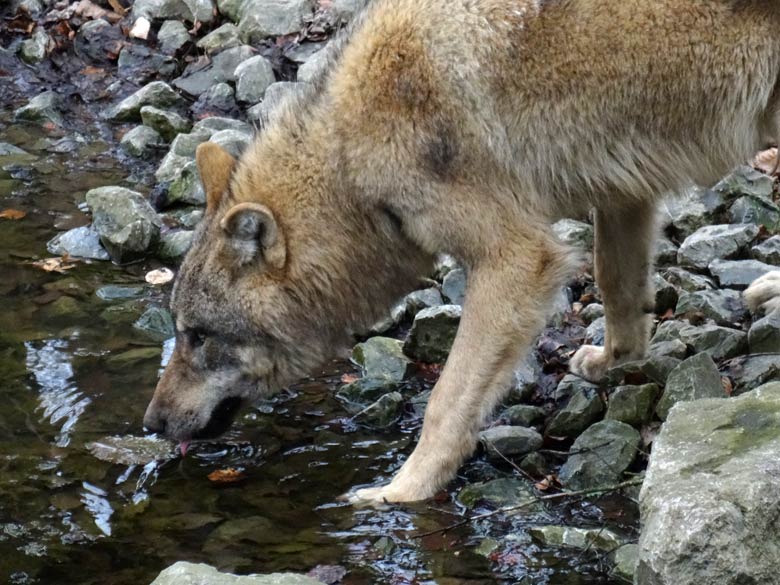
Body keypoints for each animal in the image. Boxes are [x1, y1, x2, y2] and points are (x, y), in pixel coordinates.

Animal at [145, 0, 780, 502]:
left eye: (197, 336)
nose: (150, 423)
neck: (350, 160)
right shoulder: (623, 190)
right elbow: (617, 285)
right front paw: (614, 360)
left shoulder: (515, 258)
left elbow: (445, 402)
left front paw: (403, 491)